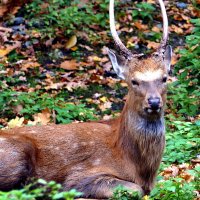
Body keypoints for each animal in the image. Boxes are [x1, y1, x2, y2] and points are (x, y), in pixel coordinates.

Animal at [0, 0, 172, 198]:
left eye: (165, 78)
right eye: (134, 81)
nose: (154, 102)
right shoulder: (79, 176)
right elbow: (135, 189)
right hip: (16, 154)